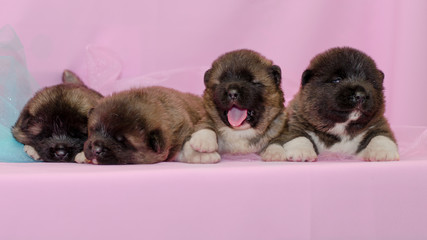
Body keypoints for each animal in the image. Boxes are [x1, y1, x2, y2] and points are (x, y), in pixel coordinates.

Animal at [264, 46, 402, 161]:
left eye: (369, 82)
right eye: (337, 80)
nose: (360, 95)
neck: (340, 129)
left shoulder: (378, 123)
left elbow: (381, 136)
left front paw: (383, 152)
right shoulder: (294, 122)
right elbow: (298, 136)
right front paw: (302, 152)